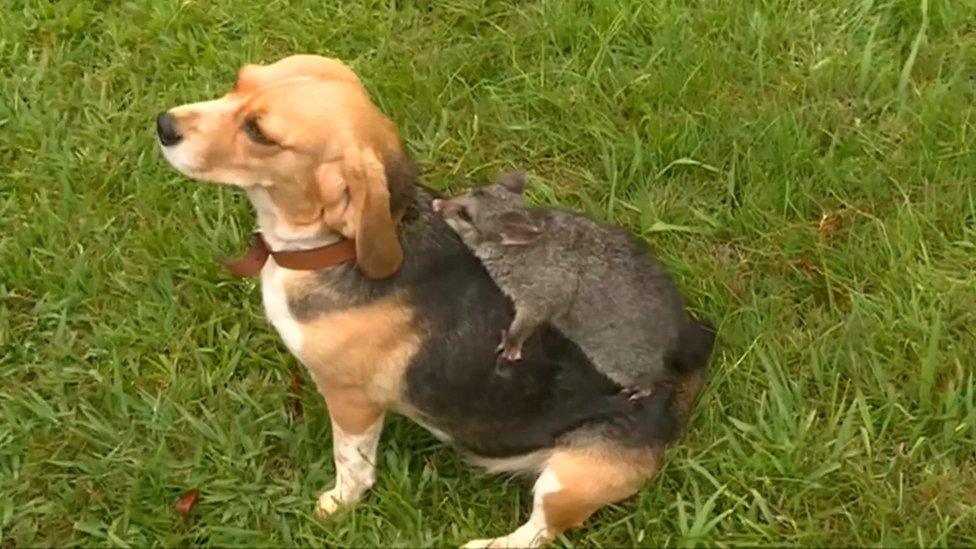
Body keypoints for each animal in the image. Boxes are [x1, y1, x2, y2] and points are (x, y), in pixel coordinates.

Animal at [156, 53, 712, 544]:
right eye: (239, 81)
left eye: (260, 133)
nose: (164, 125)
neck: (331, 246)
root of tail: (677, 385)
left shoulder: (352, 401)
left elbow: (351, 463)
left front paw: (337, 505)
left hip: (569, 478)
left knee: (540, 532)